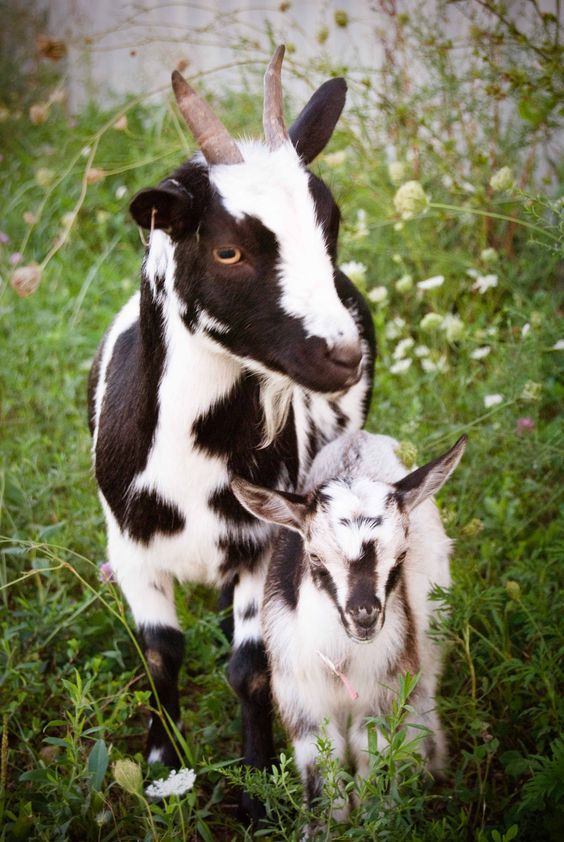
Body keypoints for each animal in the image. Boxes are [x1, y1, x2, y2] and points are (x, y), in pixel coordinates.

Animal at [87, 47, 374, 812]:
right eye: (227, 253)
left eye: (331, 221)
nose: (343, 354)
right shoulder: (130, 551)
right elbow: (160, 655)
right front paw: (162, 766)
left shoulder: (261, 544)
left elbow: (250, 666)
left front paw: (255, 783)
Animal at [231, 434, 464, 812]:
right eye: (314, 557)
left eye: (401, 554)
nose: (364, 615)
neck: (341, 659)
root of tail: (360, 437)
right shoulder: (300, 699)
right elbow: (320, 765)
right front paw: (323, 821)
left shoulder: (385, 689)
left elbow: (373, 753)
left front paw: (375, 812)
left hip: (429, 640)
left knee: (424, 693)